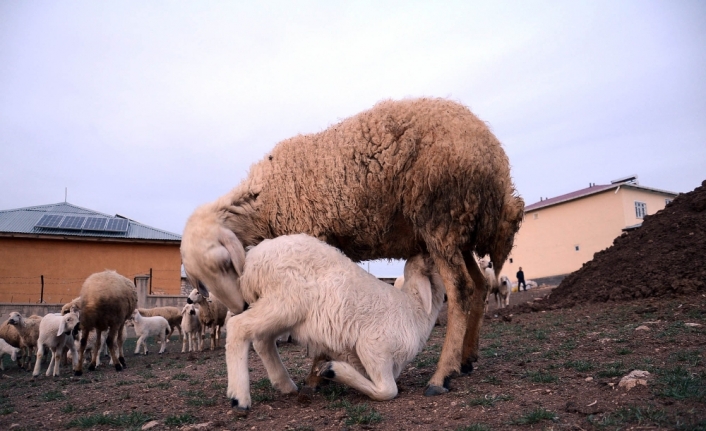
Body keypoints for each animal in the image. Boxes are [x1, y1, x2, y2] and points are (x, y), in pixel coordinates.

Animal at [182, 97, 524, 394]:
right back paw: (466, 359)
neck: (261, 204)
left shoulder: (315, 236)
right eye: (202, 280)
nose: (239, 307)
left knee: (461, 290)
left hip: (441, 218)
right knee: (480, 284)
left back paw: (442, 375)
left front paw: (319, 372)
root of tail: (497, 164)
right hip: (460, 232)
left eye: (225, 263)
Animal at [226, 236, 446, 412]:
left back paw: (285, 384)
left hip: (280, 309)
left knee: (262, 340)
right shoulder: (374, 348)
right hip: (285, 302)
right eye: (431, 261)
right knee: (238, 326)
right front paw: (333, 370)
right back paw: (239, 399)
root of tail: (254, 256)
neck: (414, 311)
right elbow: (388, 390)